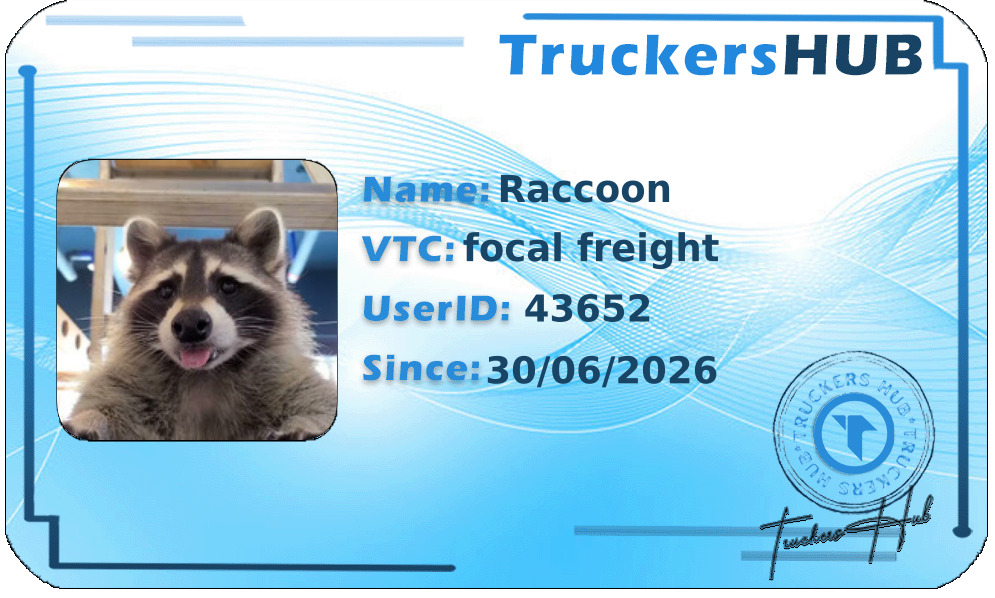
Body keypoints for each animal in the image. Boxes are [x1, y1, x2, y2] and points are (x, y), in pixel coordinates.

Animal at [65, 208, 337, 441]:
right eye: (166, 291)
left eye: (228, 286)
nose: (190, 324)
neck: (203, 376)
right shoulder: (123, 384)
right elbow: (99, 402)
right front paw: (90, 418)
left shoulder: (285, 377)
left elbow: (320, 402)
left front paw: (306, 423)